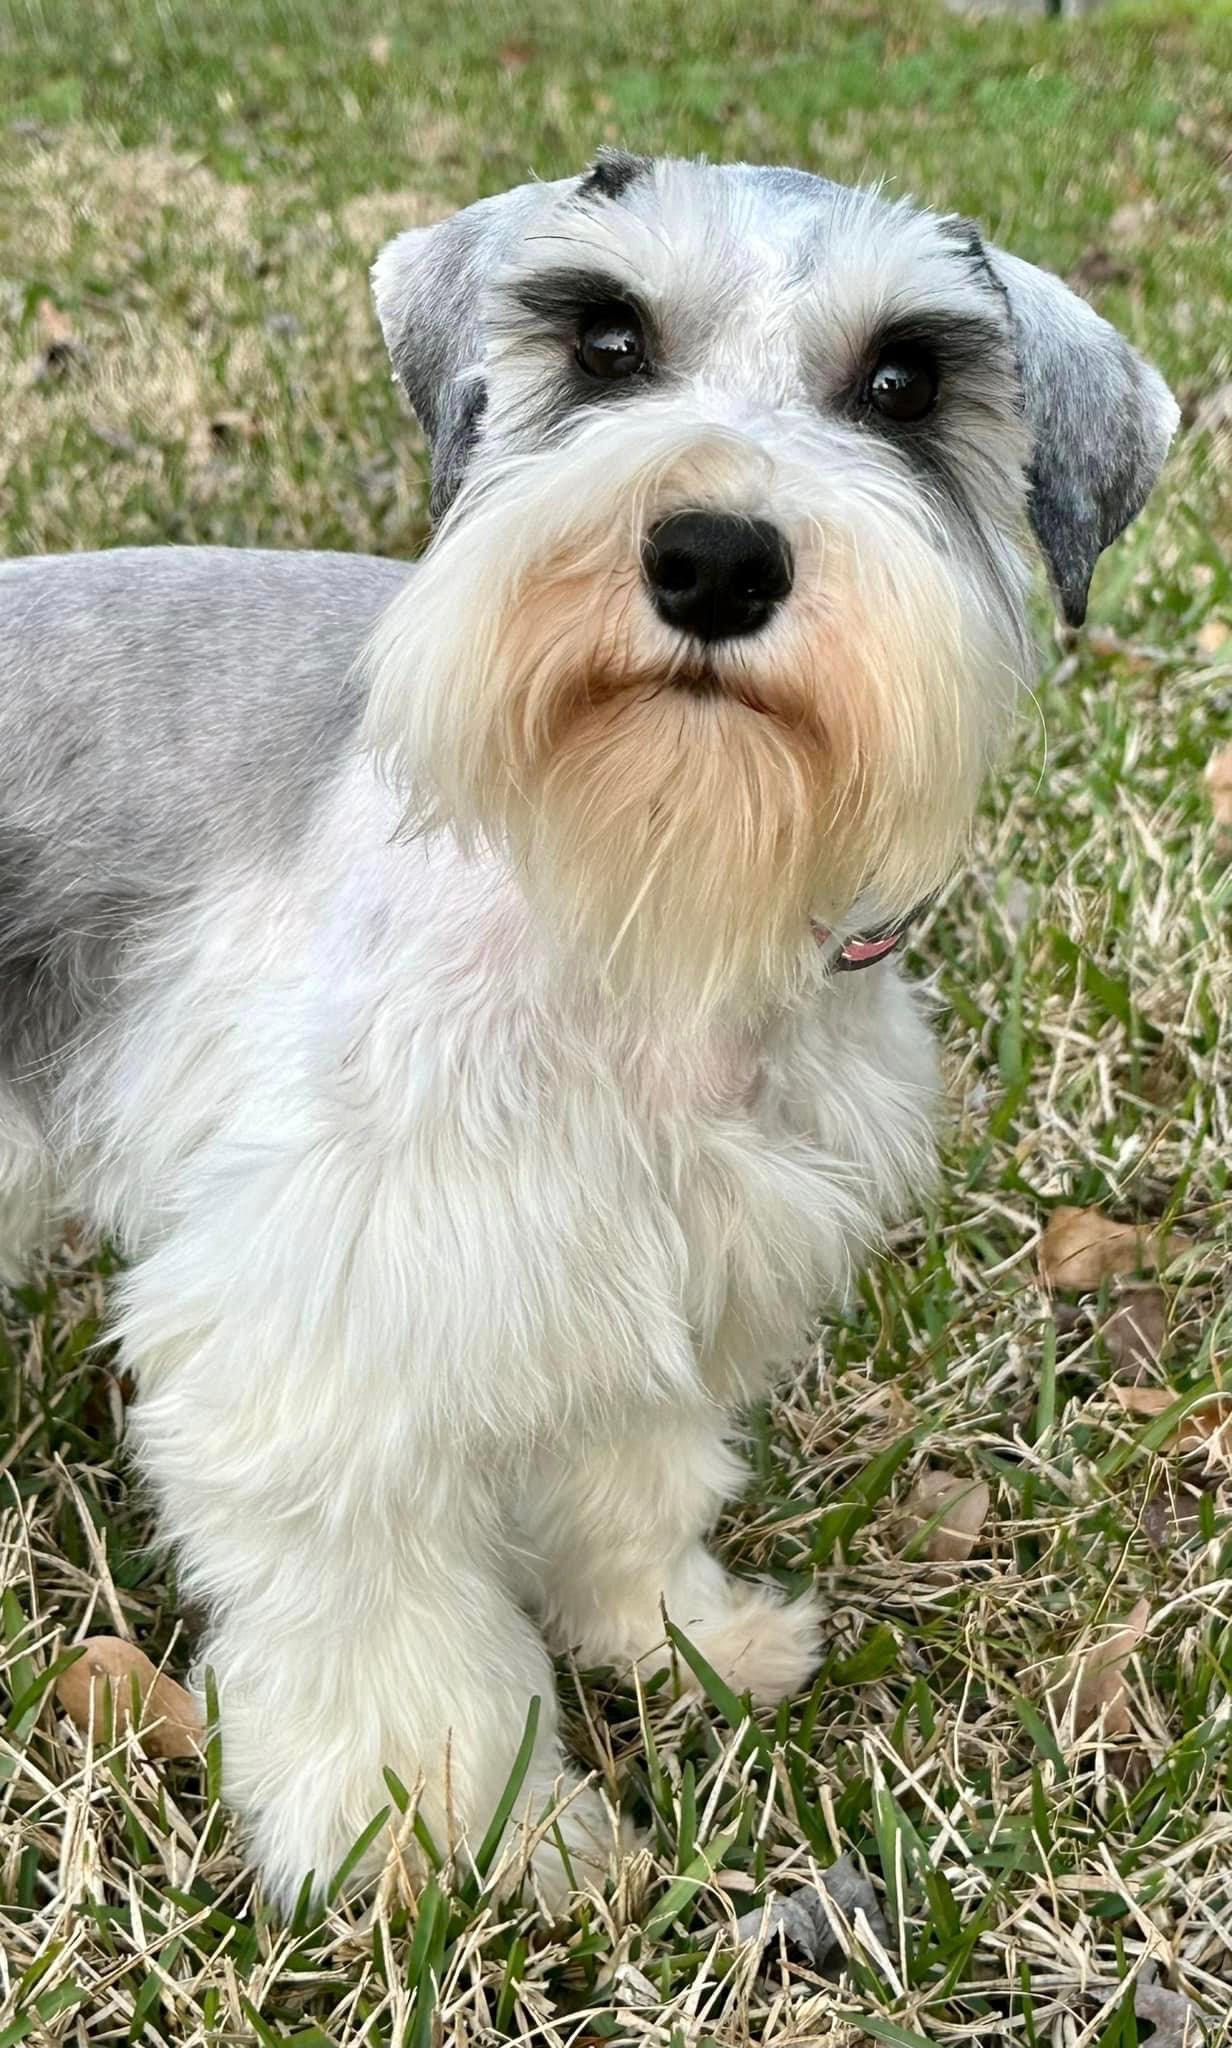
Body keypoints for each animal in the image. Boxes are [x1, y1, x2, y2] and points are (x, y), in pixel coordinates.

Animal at [0, 151, 1177, 1909]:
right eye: (608, 340)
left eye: (902, 382)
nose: (714, 560)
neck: (637, 906)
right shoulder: (331, 1330)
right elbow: (392, 1634)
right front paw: (448, 1837)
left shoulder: (671, 1268)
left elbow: (635, 1481)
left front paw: (676, 1635)